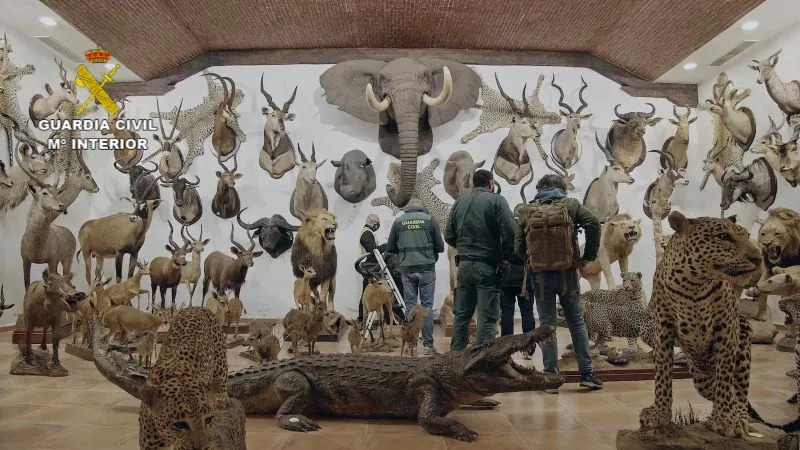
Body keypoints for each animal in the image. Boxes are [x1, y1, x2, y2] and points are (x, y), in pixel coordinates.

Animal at [138, 308, 230, 448]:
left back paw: (221, 398)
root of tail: (198, 307)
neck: (177, 374)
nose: (203, 448)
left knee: (222, 377)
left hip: (220, 358)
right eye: (180, 425)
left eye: (208, 419)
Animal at [640, 213, 764, 438]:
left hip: (742, 350)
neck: (693, 284)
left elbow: (725, 378)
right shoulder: (663, 328)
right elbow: (662, 375)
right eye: (724, 237)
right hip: (701, 379)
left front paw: (727, 419)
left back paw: (740, 417)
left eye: (748, 235)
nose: (758, 259)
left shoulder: (726, 329)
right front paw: (659, 413)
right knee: (717, 390)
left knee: (739, 393)